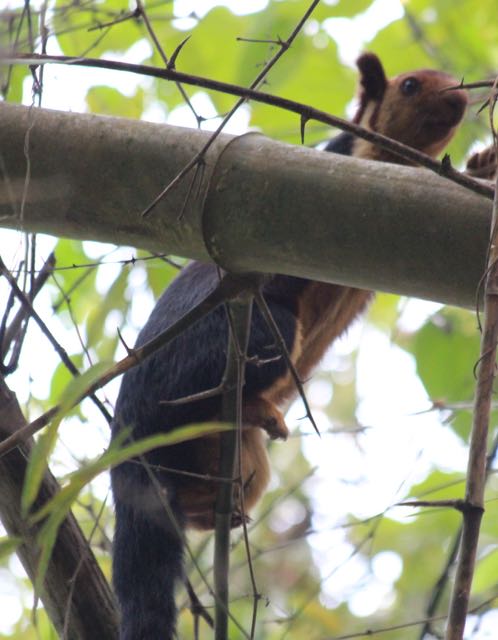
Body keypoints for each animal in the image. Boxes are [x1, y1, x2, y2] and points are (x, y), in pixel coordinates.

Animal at [110, 53, 468, 640]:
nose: (462, 100)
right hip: (244, 336)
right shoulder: (355, 168)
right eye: (411, 86)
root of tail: (129, 443)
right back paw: (249, 405)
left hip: (242, 463)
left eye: (456, 81)